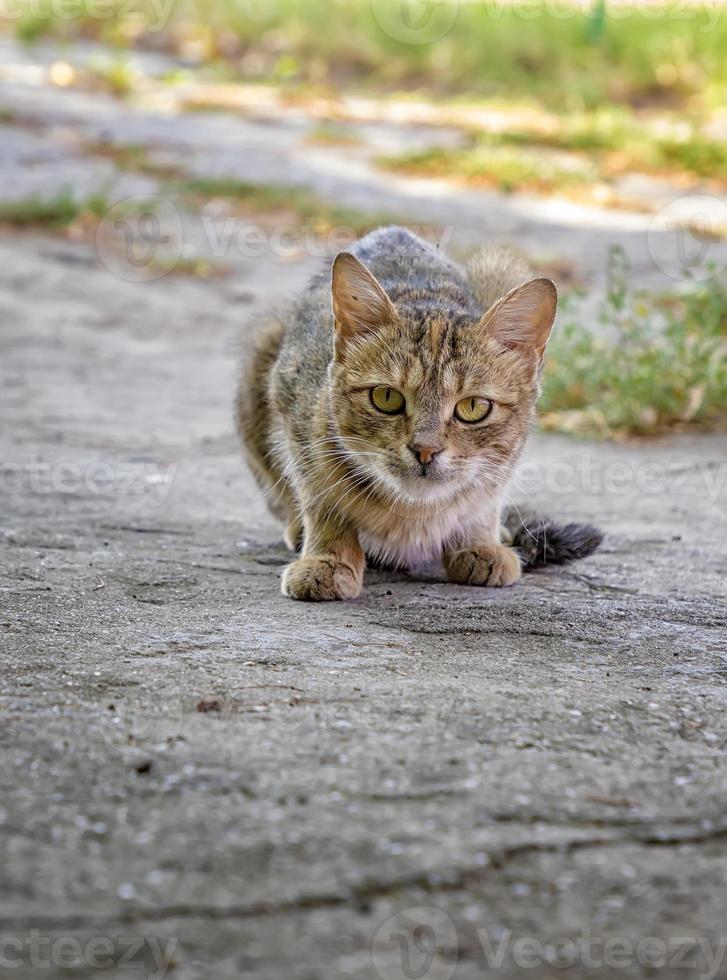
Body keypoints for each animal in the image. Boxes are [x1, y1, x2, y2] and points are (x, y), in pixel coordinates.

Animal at [239, 227, 604, 600]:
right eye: (386, 397)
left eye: (473, 407)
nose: (425, 450)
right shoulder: (296, 415)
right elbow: (322, 501)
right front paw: (328, 557)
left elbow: (485, 500)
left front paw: (479, 541)